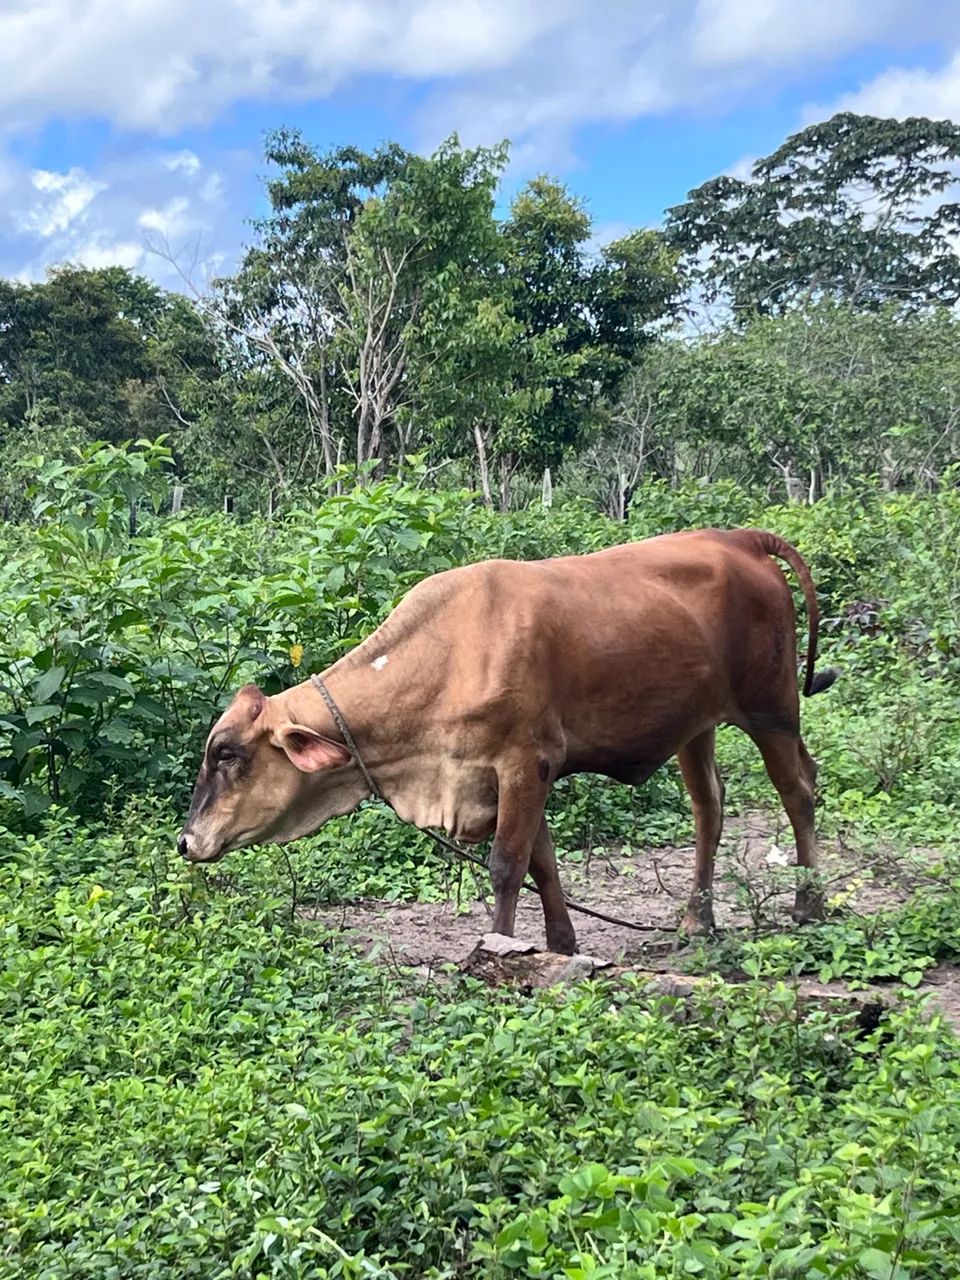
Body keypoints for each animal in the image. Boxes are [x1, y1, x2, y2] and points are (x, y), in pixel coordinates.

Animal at [178, 528, 838, 954]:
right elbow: (542, 862)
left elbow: (507, 865)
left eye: (227, 753)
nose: (186, 842)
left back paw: (808, 906)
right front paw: (561, 945)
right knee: (709, 807)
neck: (446, 657)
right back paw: (697, 921)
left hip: (773, 708)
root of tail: (739, 538)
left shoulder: (526, 762)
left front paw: (496, 948)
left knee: (799, 791)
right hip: (695, 726)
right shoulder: (507, 776)